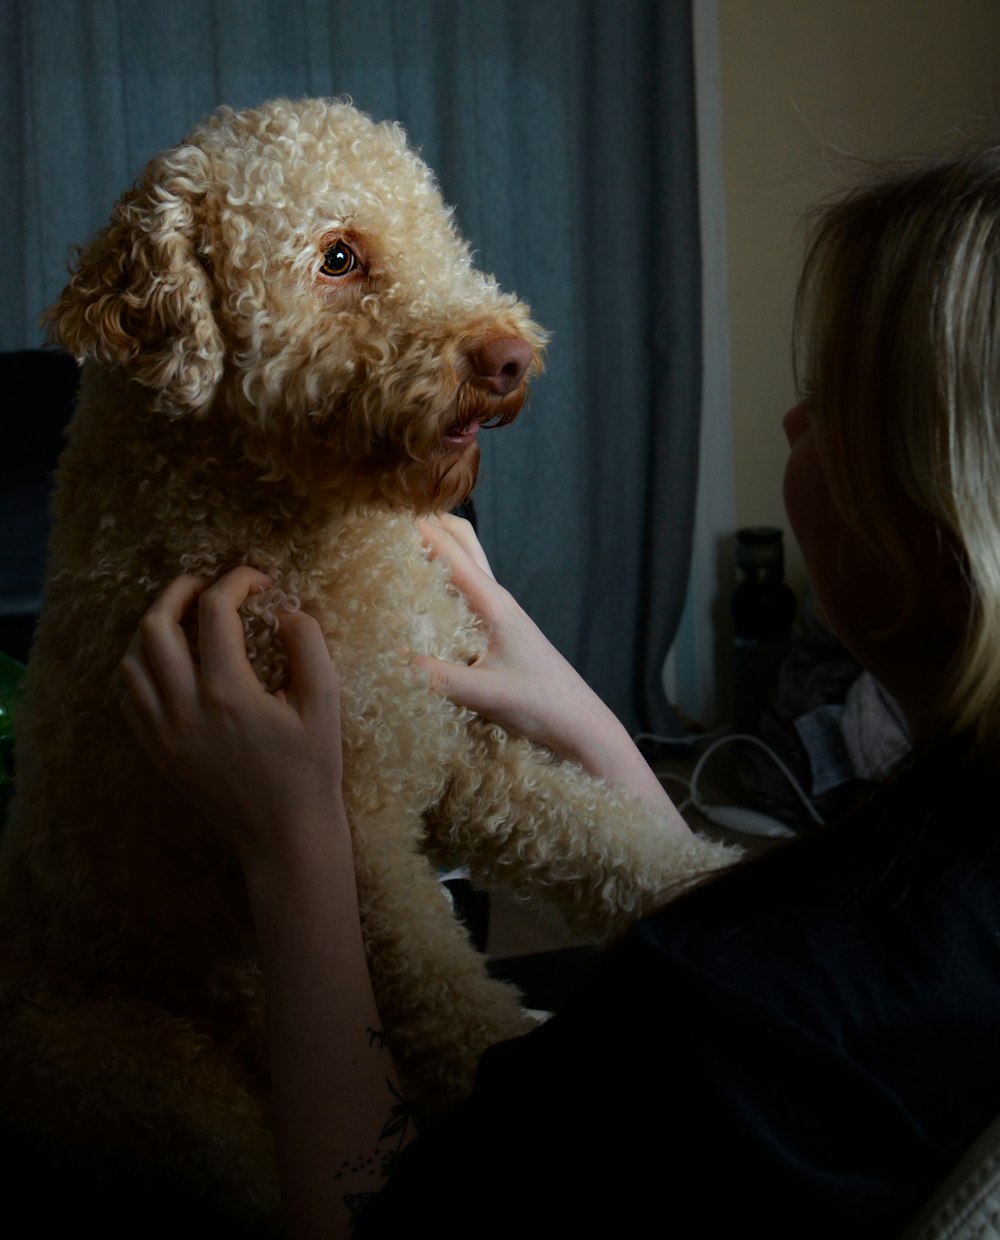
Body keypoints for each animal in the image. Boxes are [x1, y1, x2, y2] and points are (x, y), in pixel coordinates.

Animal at [0, 96, 734, 1220]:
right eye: (338, 257)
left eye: (441, 231)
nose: (510, 355)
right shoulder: (356, 833)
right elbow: (454, 1006)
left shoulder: (449, 749)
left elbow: (606, 833)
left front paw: (732, 875)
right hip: (146, 1080)